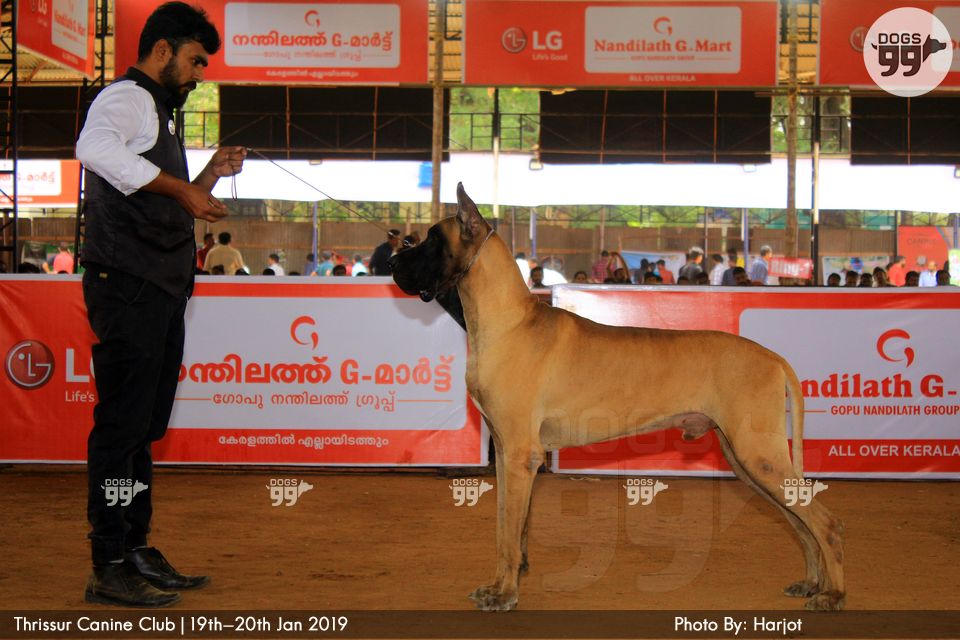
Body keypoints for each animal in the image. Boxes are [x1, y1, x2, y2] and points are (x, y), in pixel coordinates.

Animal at [388, 183, 845, 612]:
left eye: (432, 238)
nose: (392, 262)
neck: (510, 322)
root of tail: (773, 356)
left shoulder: (519, 453)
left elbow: (508, 535)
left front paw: (504, 594)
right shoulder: (506, 452)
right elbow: (508, 527)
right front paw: (503, 583)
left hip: (758, 453)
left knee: (824, 522)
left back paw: (833, 593)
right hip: (747, 458)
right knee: (800, 521)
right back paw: (811, 583)